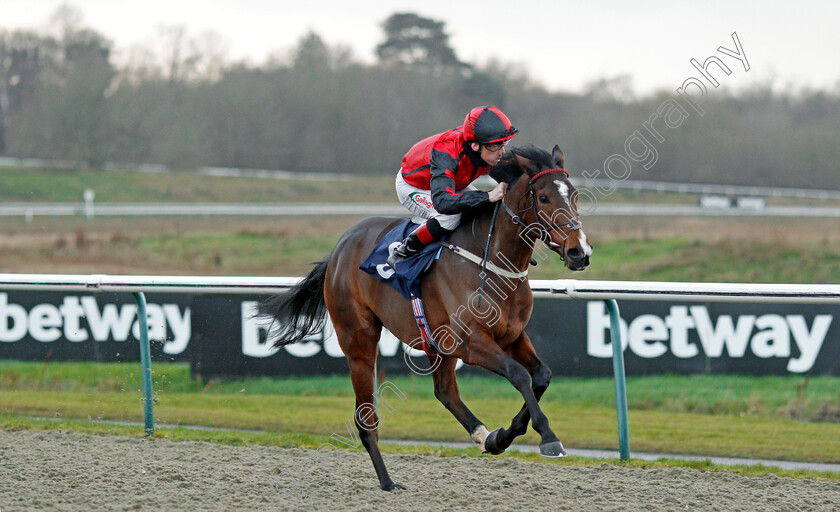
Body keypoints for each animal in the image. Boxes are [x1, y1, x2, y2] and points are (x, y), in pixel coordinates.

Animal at [262, 143, 592, 488]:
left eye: (574, 195)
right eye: (543, 197)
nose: (579, 252)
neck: (491, 261)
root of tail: (339, 248)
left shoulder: (511, 335)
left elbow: (541, 375)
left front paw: (503, 436)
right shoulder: (471, 342)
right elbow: (518, 374)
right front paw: (549, 438)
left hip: (436, 342)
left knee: (445, 391)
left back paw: (484, 436)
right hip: (359, 341)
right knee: (366, 417)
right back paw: (387, 482)